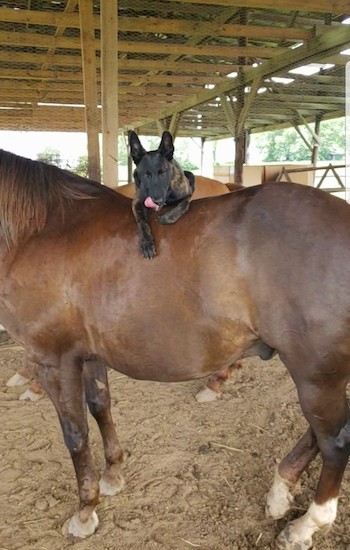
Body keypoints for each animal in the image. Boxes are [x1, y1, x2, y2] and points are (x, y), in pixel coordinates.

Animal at [0, 151, 350, 550]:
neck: (40, 231)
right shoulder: (88, 355)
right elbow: (101, 407)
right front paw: (113, 475)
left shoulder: (54, 359)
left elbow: (76, 435)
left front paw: (85, 512)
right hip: (319, 373)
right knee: (318, 433)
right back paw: (280, 491)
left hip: (315, 374)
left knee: (335, 441)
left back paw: (306, 524)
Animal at [129, 130, 196, 260]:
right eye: (146, 175)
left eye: (163, 173)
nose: (157, 200)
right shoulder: (136, 202)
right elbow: (142, 222)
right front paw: (147, 243)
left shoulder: (187, 194)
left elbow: (184, 205)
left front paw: (167, 217)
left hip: (191, 175)